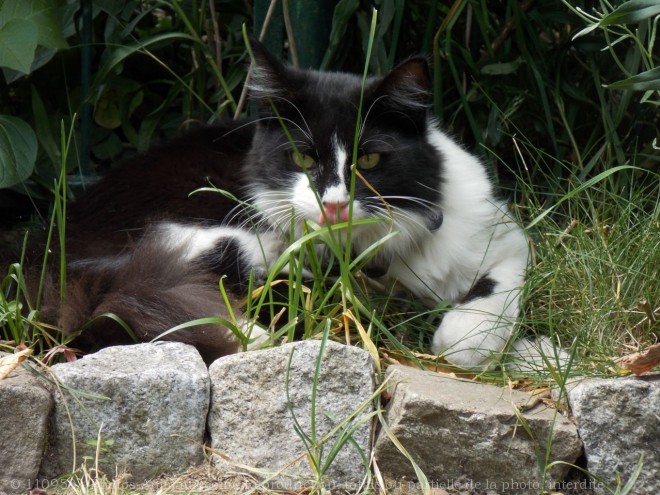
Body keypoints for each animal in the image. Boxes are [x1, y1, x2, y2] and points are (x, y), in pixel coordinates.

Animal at [27, 41, 540, 368]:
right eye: (302, 158)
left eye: (369, 160)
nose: (334, 205)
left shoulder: (506, 237)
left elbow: (495, 293)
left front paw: (469, 338)